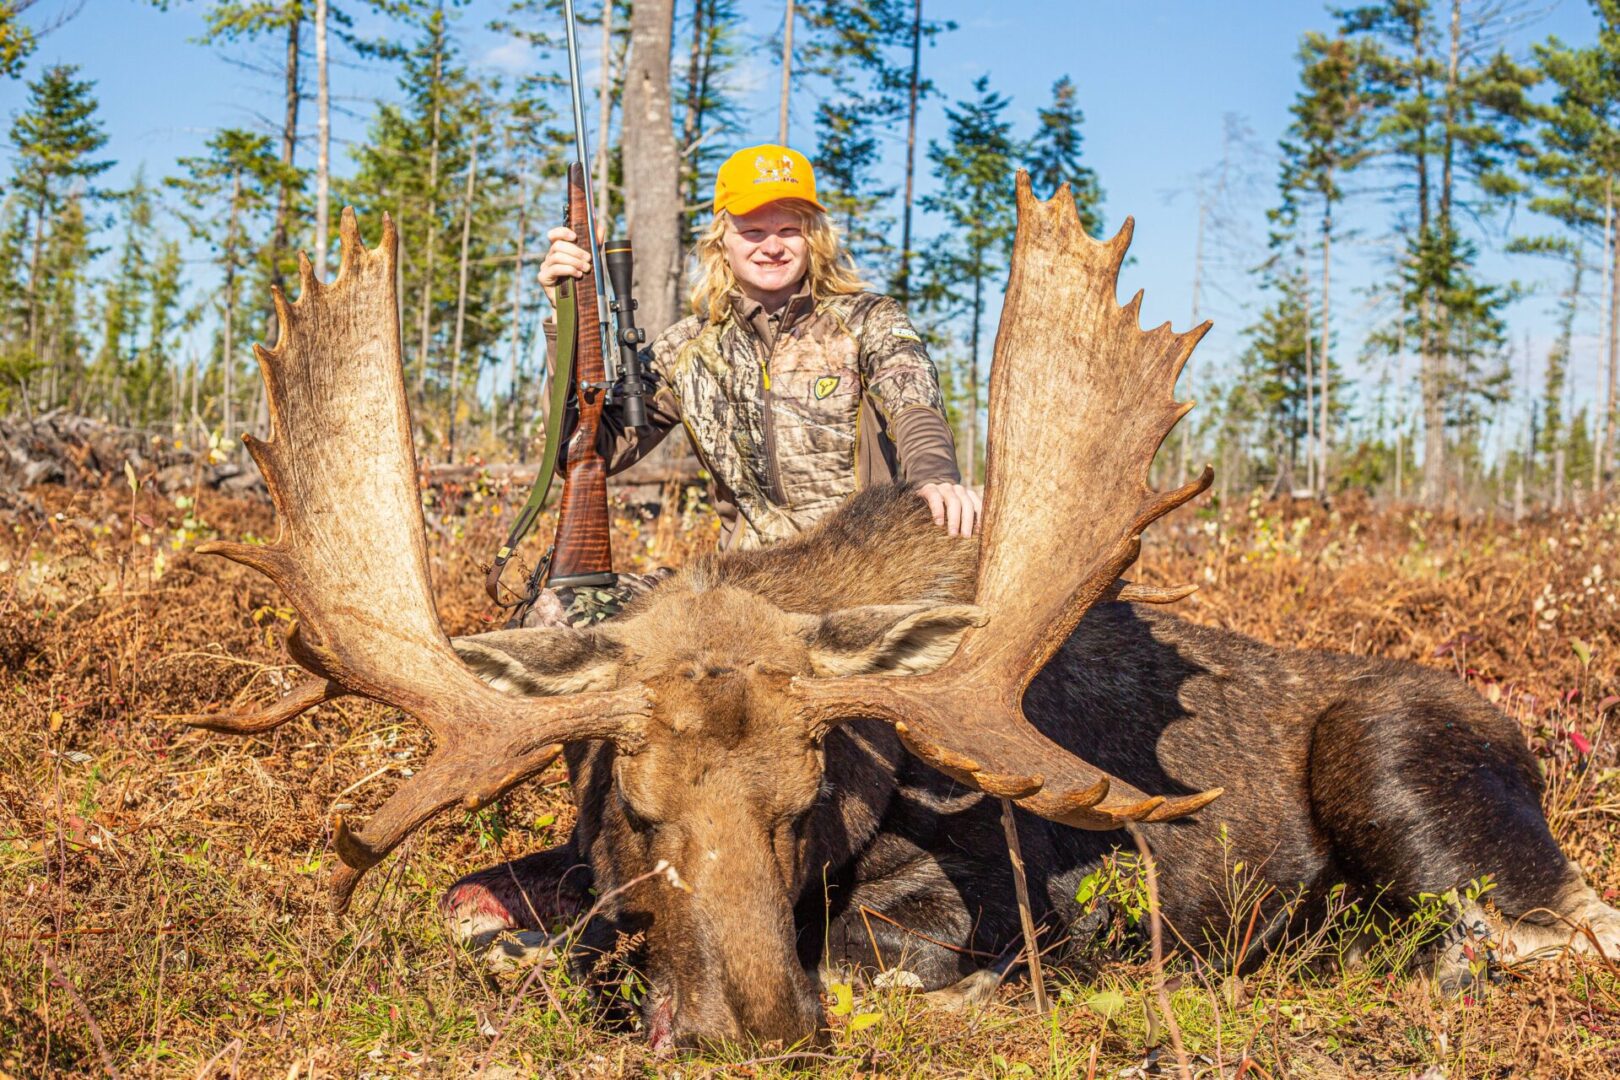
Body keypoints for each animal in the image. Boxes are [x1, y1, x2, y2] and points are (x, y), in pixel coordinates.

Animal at [196, 179, 1613, 1055]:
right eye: (632, 808)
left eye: (803, 800)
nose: (753, 1029)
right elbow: (479, 914)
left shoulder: (991, 899)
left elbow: (876, 962)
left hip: (1397, 755)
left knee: (1557, 925)